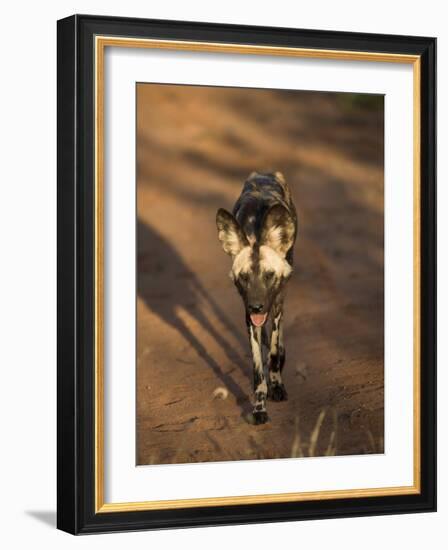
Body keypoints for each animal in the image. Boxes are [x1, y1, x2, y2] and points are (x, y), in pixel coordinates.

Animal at [215, 172, 296, 426]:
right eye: (244, 277)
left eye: (269, 275)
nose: (257, 306)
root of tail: (264, 173)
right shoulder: (248, 315)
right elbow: (258, 369)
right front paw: (259, 408)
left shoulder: (276, 302)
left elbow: (272, 352)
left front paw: (277, 386)